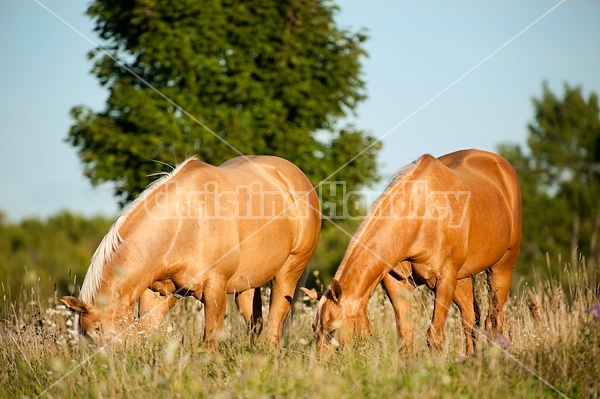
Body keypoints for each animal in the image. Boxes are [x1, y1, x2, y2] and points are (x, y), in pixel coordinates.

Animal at [62, 155, 322, 346]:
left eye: (97, 329)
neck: (185, 224)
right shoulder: (157, 293)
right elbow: (148, 331)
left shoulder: (215, 289)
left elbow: (210, 342)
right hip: (246, 284)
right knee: (254, 323)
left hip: (288, 272)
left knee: (275, 322)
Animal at [304, 149, 520, 354]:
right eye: (314, 329)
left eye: (332, 329)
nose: (324, 362)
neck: (420, 217)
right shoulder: (397, 283)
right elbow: (406, 337)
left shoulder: (445, 279)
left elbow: (433, 336)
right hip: (462, 279)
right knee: (470, 318)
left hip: (501, 268)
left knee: (494, 320)